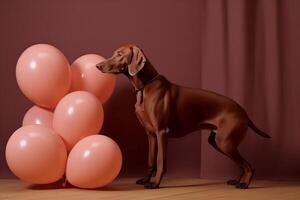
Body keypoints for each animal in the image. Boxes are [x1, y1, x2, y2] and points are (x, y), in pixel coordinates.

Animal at [96, 43, 270, 189]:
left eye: (119, 54)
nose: (98, 66)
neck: (145, 87)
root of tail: (244, 111)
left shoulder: (162, 132)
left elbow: (160, 160)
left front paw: (155, 183)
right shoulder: (151, 134)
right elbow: (151, 160)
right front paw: (146, 179)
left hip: (224, 142)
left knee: (249, 166)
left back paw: (245, 184)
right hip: (217, 141)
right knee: (242, 164)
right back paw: (238, 181)